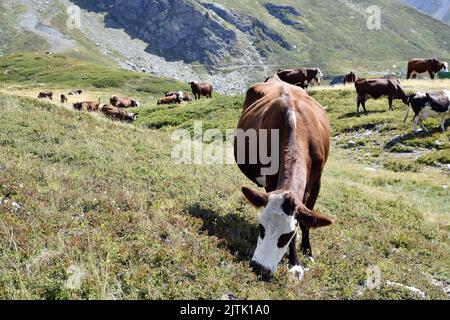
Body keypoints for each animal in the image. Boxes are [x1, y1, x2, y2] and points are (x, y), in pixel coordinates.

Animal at [234, 74, 332, 280]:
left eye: (286, 235)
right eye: (261, 227)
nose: (259, 268)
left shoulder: (317, 182)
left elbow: (306, 220)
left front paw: (306, 252)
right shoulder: (271, 179)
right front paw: (294, 262)